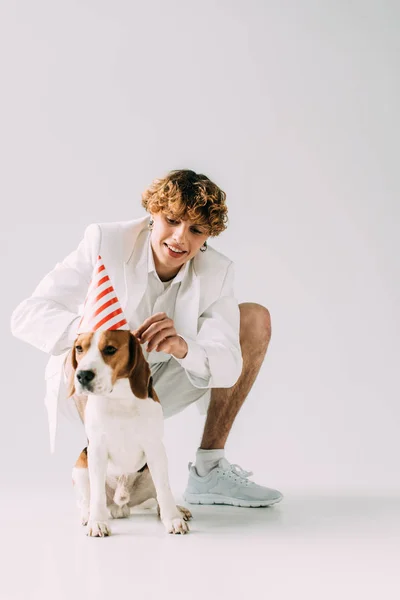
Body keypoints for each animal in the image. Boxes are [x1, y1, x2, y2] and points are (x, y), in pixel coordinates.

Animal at [67, 330, 192, 536]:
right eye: (79, 348)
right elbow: (97, 494)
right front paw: (97, 522)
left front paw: (173, 519)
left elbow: (164, 489)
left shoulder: (155, 447)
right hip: (81, 465)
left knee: (159, 493)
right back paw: (88, 515)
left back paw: (177, 510)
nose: (83, 375)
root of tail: (121, 505)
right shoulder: (97, 450)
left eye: (110, 349)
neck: (120, 398)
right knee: (86, 499)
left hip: (150, 472)